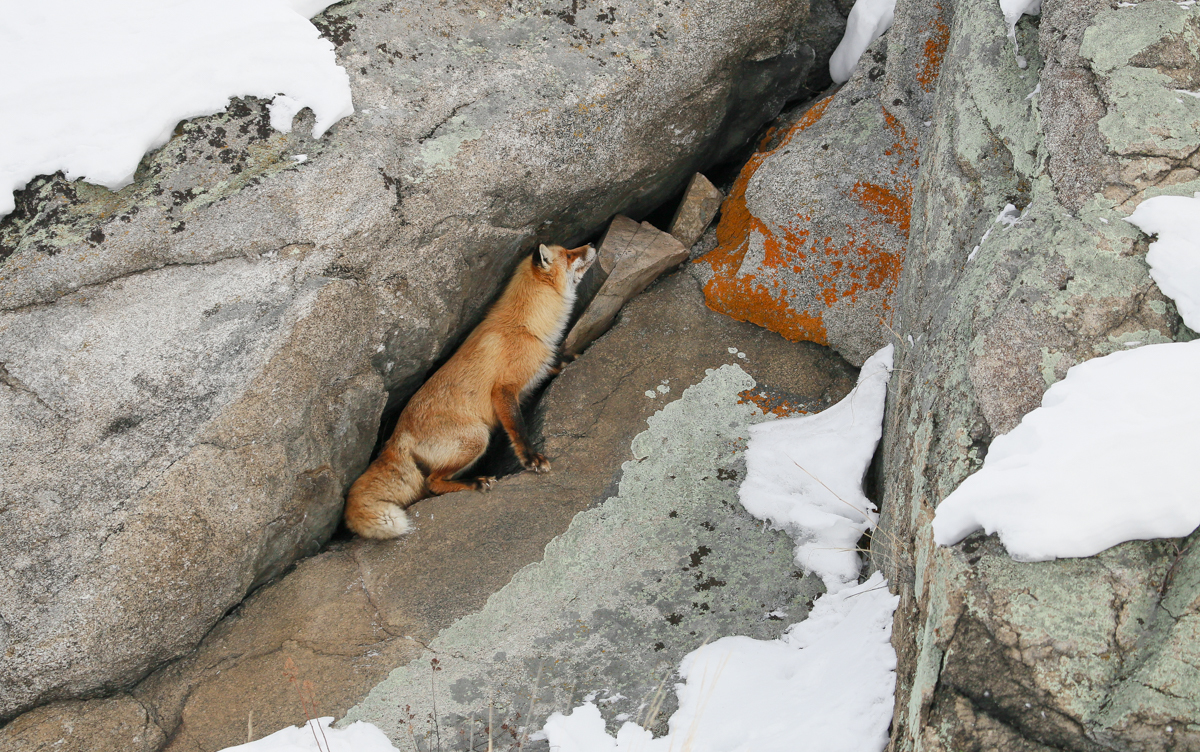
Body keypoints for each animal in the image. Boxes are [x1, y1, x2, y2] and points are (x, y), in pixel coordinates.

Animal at [343, 244, 595, 537]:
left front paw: (575, 354)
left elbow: (560, 362)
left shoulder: (537, 370)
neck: (526, 326)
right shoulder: (503, 391)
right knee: (431, 483)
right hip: (476, 438)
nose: (591, 245)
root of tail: (395, 436)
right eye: (568, 254)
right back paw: (475, 482)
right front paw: (531, 458)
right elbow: (518, 430)